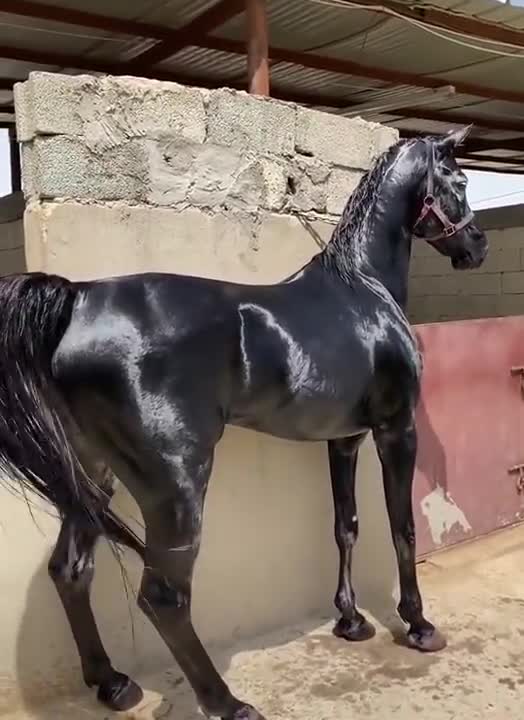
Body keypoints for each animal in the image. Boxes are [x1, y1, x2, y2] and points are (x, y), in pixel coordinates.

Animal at [0, 125, 487, 720]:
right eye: (458, 181)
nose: (478, 247)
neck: (363, 289)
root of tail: (78, 300)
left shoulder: (343, 439)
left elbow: (345, 525)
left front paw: (351, 621)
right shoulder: (396, 429)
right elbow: (402, 527)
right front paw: (418, 625)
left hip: (93, 474)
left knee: (71, 570)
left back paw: (112, 684)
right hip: (176, 487)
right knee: (164, 597)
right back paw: (228, 703)